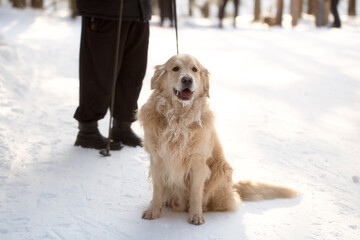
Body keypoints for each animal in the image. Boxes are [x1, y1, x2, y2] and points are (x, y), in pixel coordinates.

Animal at [138, 54, 298, 225]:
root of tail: (233, 187)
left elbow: (196, 193)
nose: (187, 79)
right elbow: (158, 190)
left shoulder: (198, 163)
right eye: (175, 68)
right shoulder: (157, 160)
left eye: (194, 69)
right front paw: (153, 211)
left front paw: (196, 215)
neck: (178, 119)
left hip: (221, 169)